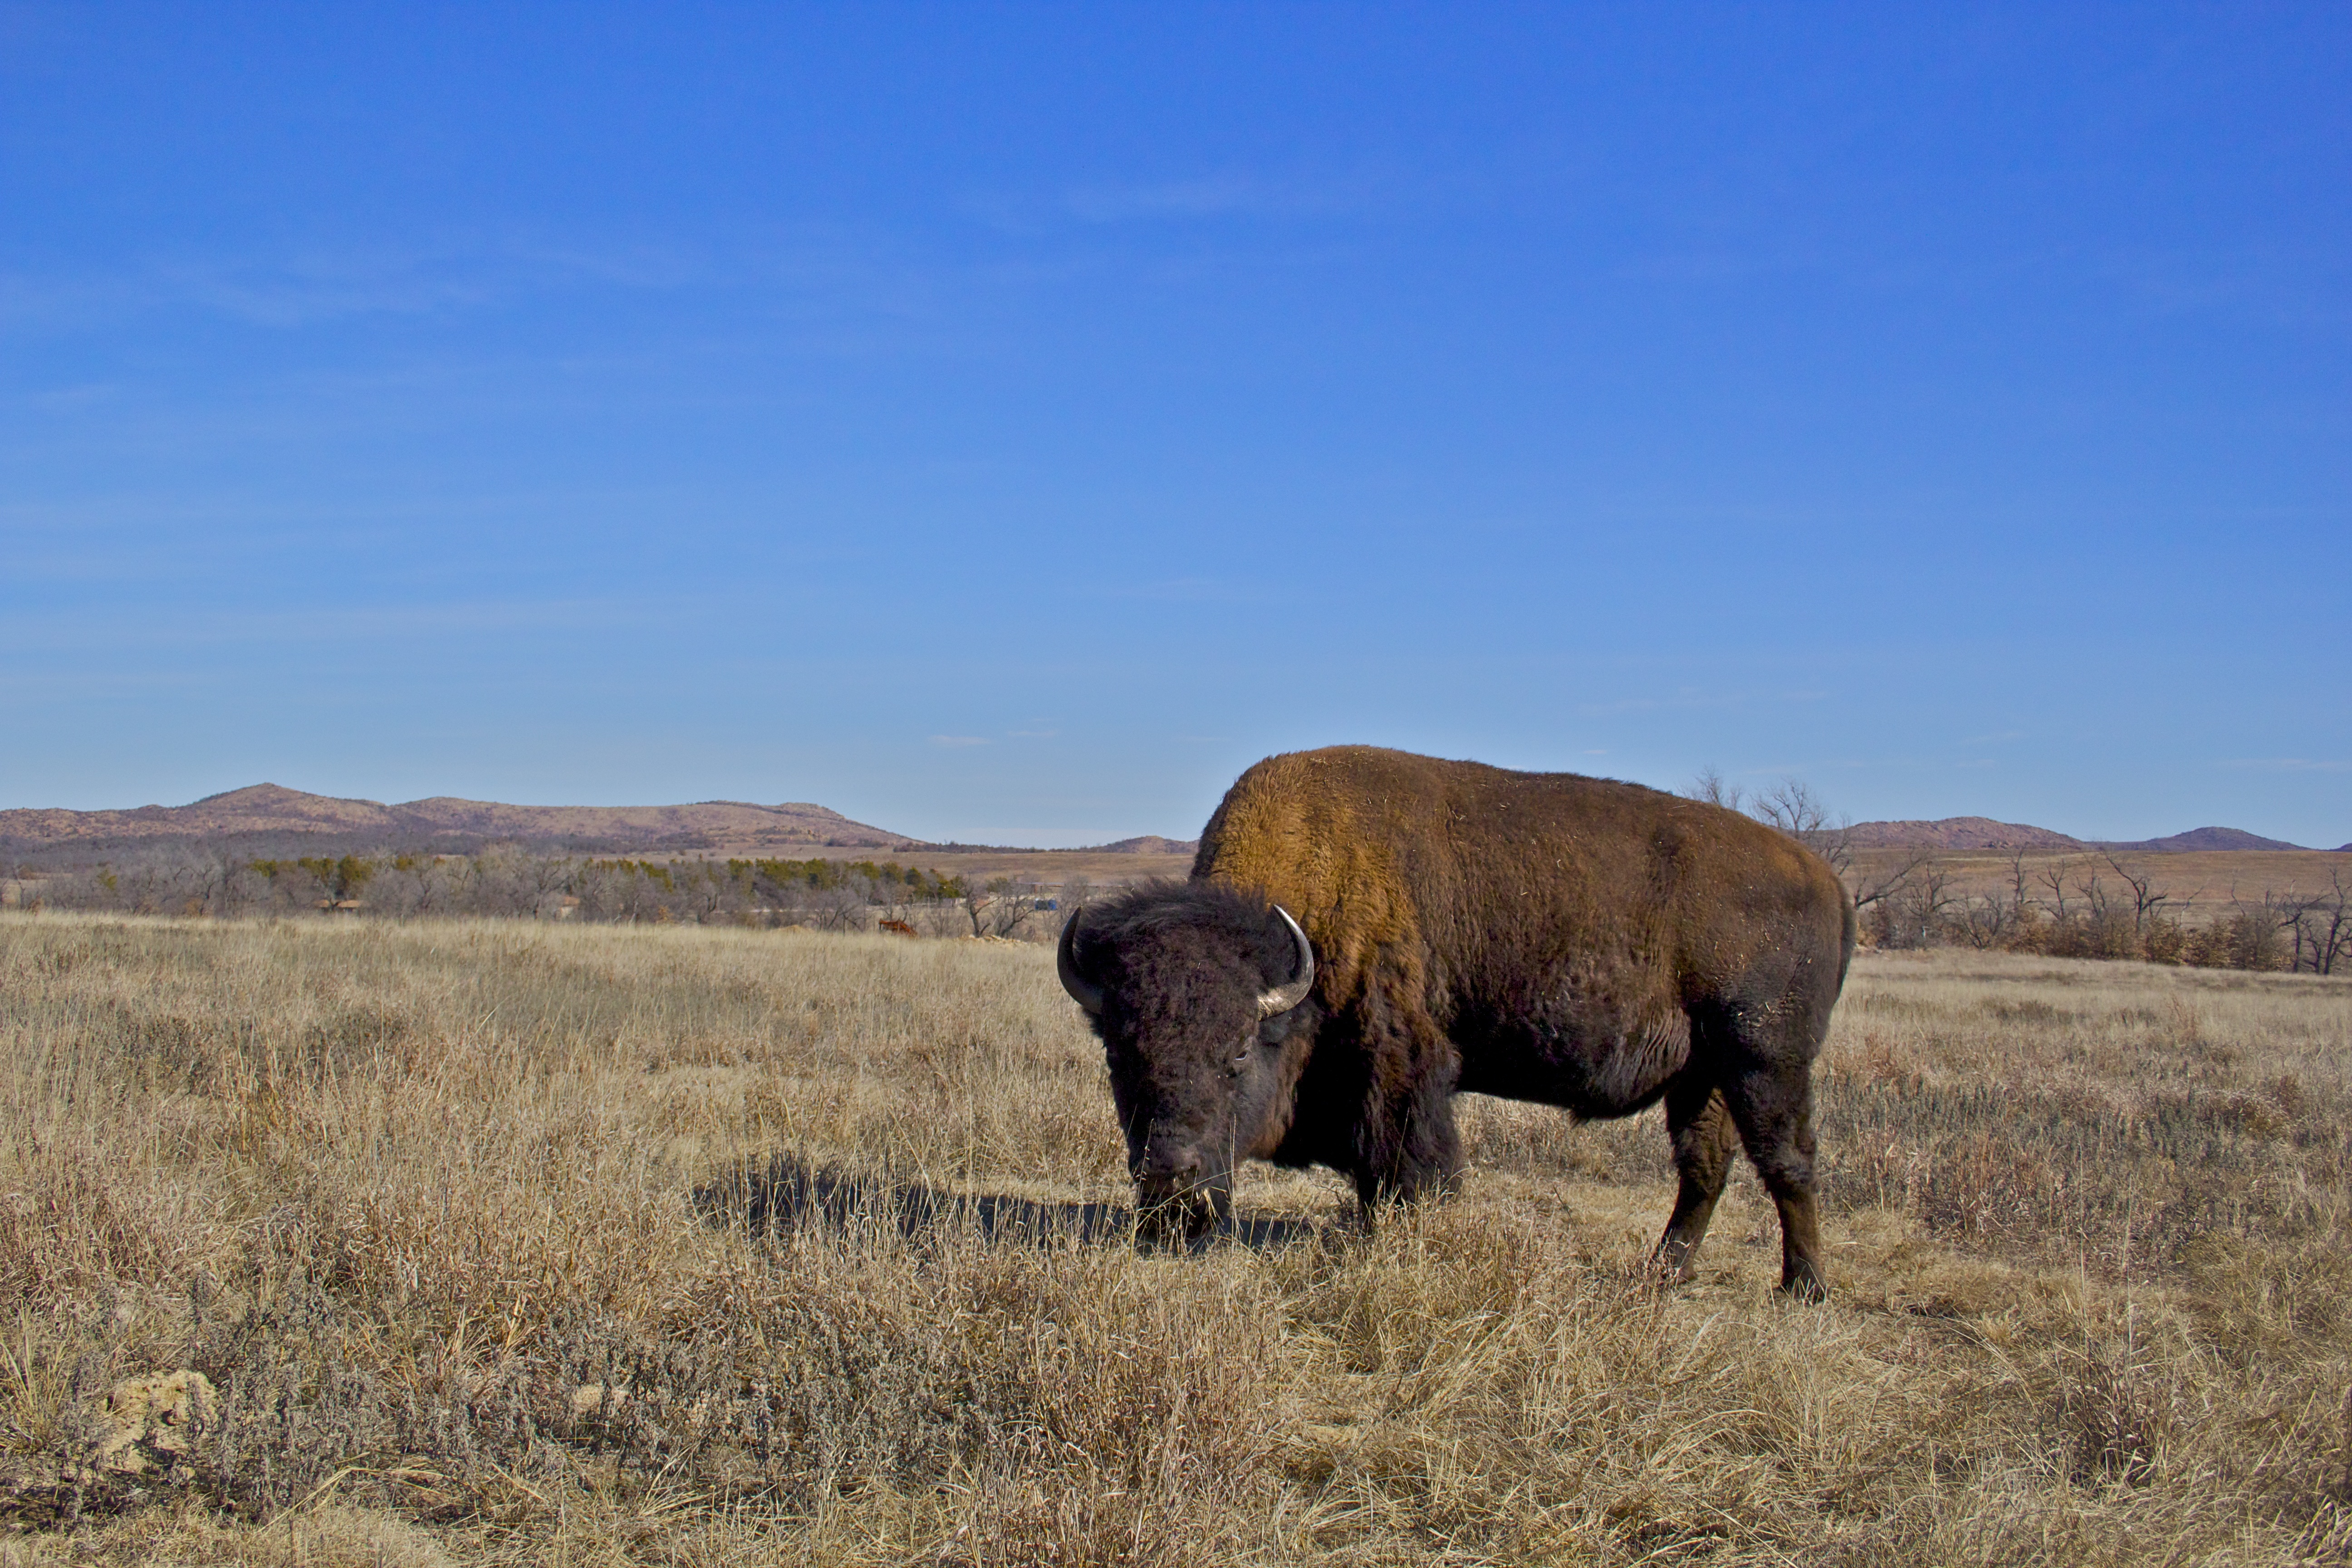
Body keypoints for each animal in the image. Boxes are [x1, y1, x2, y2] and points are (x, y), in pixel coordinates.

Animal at [1057, 746, 1855, 1298]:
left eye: (1239, 1054)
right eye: (1119, 1058)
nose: (1170, 1179)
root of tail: (1825, 878)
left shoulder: (1401, 1067)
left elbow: (1406, 1167)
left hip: (1766, 1061)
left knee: (1788, 1161)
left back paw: (1804, 1287)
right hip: (1703, 1075)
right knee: (1705, 1167)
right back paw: (1664, 1272)